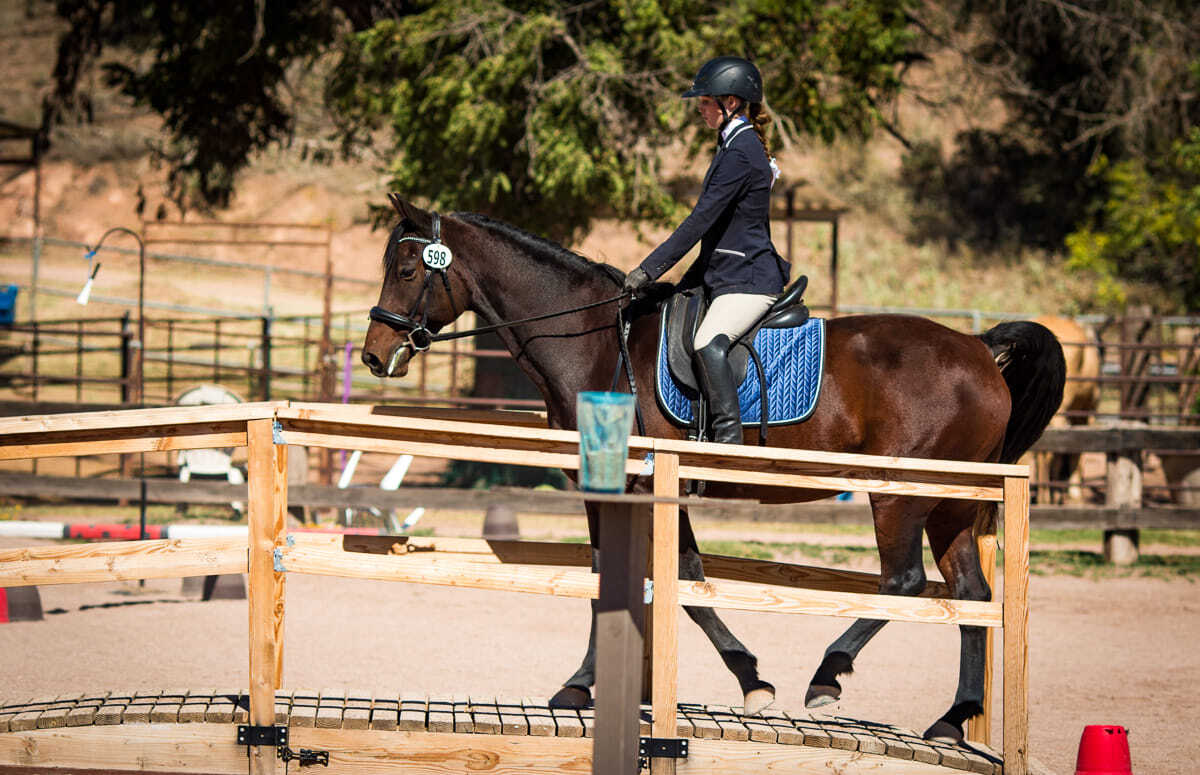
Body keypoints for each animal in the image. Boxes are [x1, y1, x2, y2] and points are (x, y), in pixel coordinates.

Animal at [361, 195, 1066, 743]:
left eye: (407, 268)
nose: (373, 355)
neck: (593, 342)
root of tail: (979, 347)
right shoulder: (643, 489)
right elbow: (673, 578)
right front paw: (736, 678)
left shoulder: (632, 485)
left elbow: (641, 578)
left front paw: (586, 687)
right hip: (950, 501)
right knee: (972, 595)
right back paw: (952, 718)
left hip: (898, 492)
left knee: (904, 583)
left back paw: (828, 677)